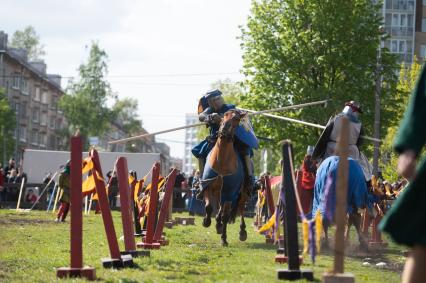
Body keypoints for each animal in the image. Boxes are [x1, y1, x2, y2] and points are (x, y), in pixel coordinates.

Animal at [201, 110, 251, 247]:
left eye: (236, 119)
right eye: (223, 117)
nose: (224, 129)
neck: (221, 161)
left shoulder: (229, 193)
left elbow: (226, 215)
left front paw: (224, 239)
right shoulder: (208, 186)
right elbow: (209, 207)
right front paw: (206, 221)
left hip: (242, 193)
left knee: (240, 208)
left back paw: (242, 231)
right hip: (219, 192)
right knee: (219, 207)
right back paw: (217, 223)